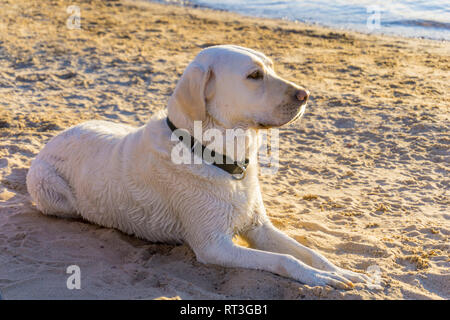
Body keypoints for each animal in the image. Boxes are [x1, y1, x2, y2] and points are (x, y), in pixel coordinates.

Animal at [27, 45, 370, 290]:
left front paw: (340, 271)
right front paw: (320, 278)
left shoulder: (259, 226)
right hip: (54, 195)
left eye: (271, 67)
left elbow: (309, 252)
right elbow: (285, 260)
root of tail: (53, 137)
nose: (305, 94)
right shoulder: (214, 246)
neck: (217, 157)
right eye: (254, 76)